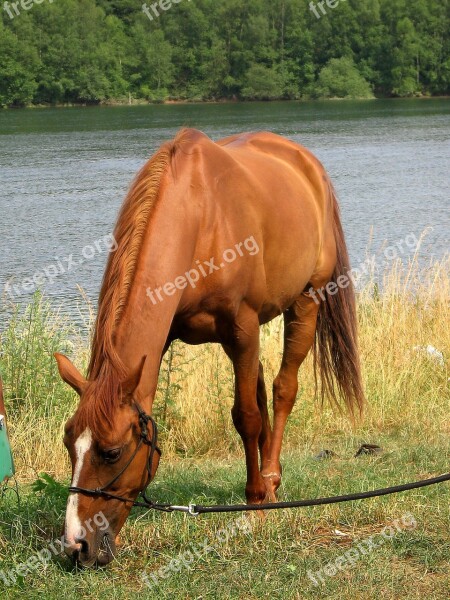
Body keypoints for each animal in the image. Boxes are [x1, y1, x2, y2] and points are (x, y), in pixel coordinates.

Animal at [54, 129, 364, 564]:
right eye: (69, 443)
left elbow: (246, 417)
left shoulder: (242, 328)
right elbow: (251, 409)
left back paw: (268, 479)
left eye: (111, 452)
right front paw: (260, 494)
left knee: (283, 390)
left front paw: (254, 505)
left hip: (305, 302)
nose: (76, 544)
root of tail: (305, 162)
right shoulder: (183, 334)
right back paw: (270, 482)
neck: (199, 218)